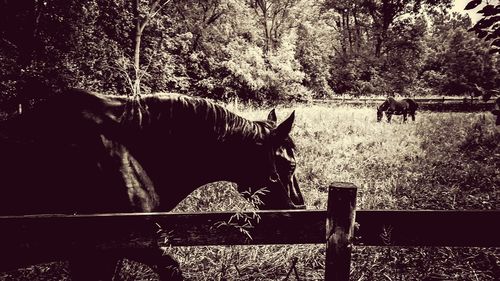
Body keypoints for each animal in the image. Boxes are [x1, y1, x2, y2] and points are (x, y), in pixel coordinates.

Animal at [0, 88, 304, 278]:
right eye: (290, 165)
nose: (300, 208)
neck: (128, 153)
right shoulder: (113, 248)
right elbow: (171, 268)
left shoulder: (96, 253)